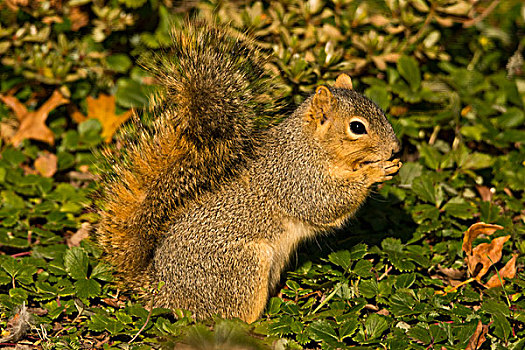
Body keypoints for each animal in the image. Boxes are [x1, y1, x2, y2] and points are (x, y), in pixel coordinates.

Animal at [94, 21, 400, 322]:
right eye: (357, 127)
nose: (395, 149)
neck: (310, 144)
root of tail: (162, 293)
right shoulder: (297, 176)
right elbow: (324, 202)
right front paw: (375, 172)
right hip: (242, 269)